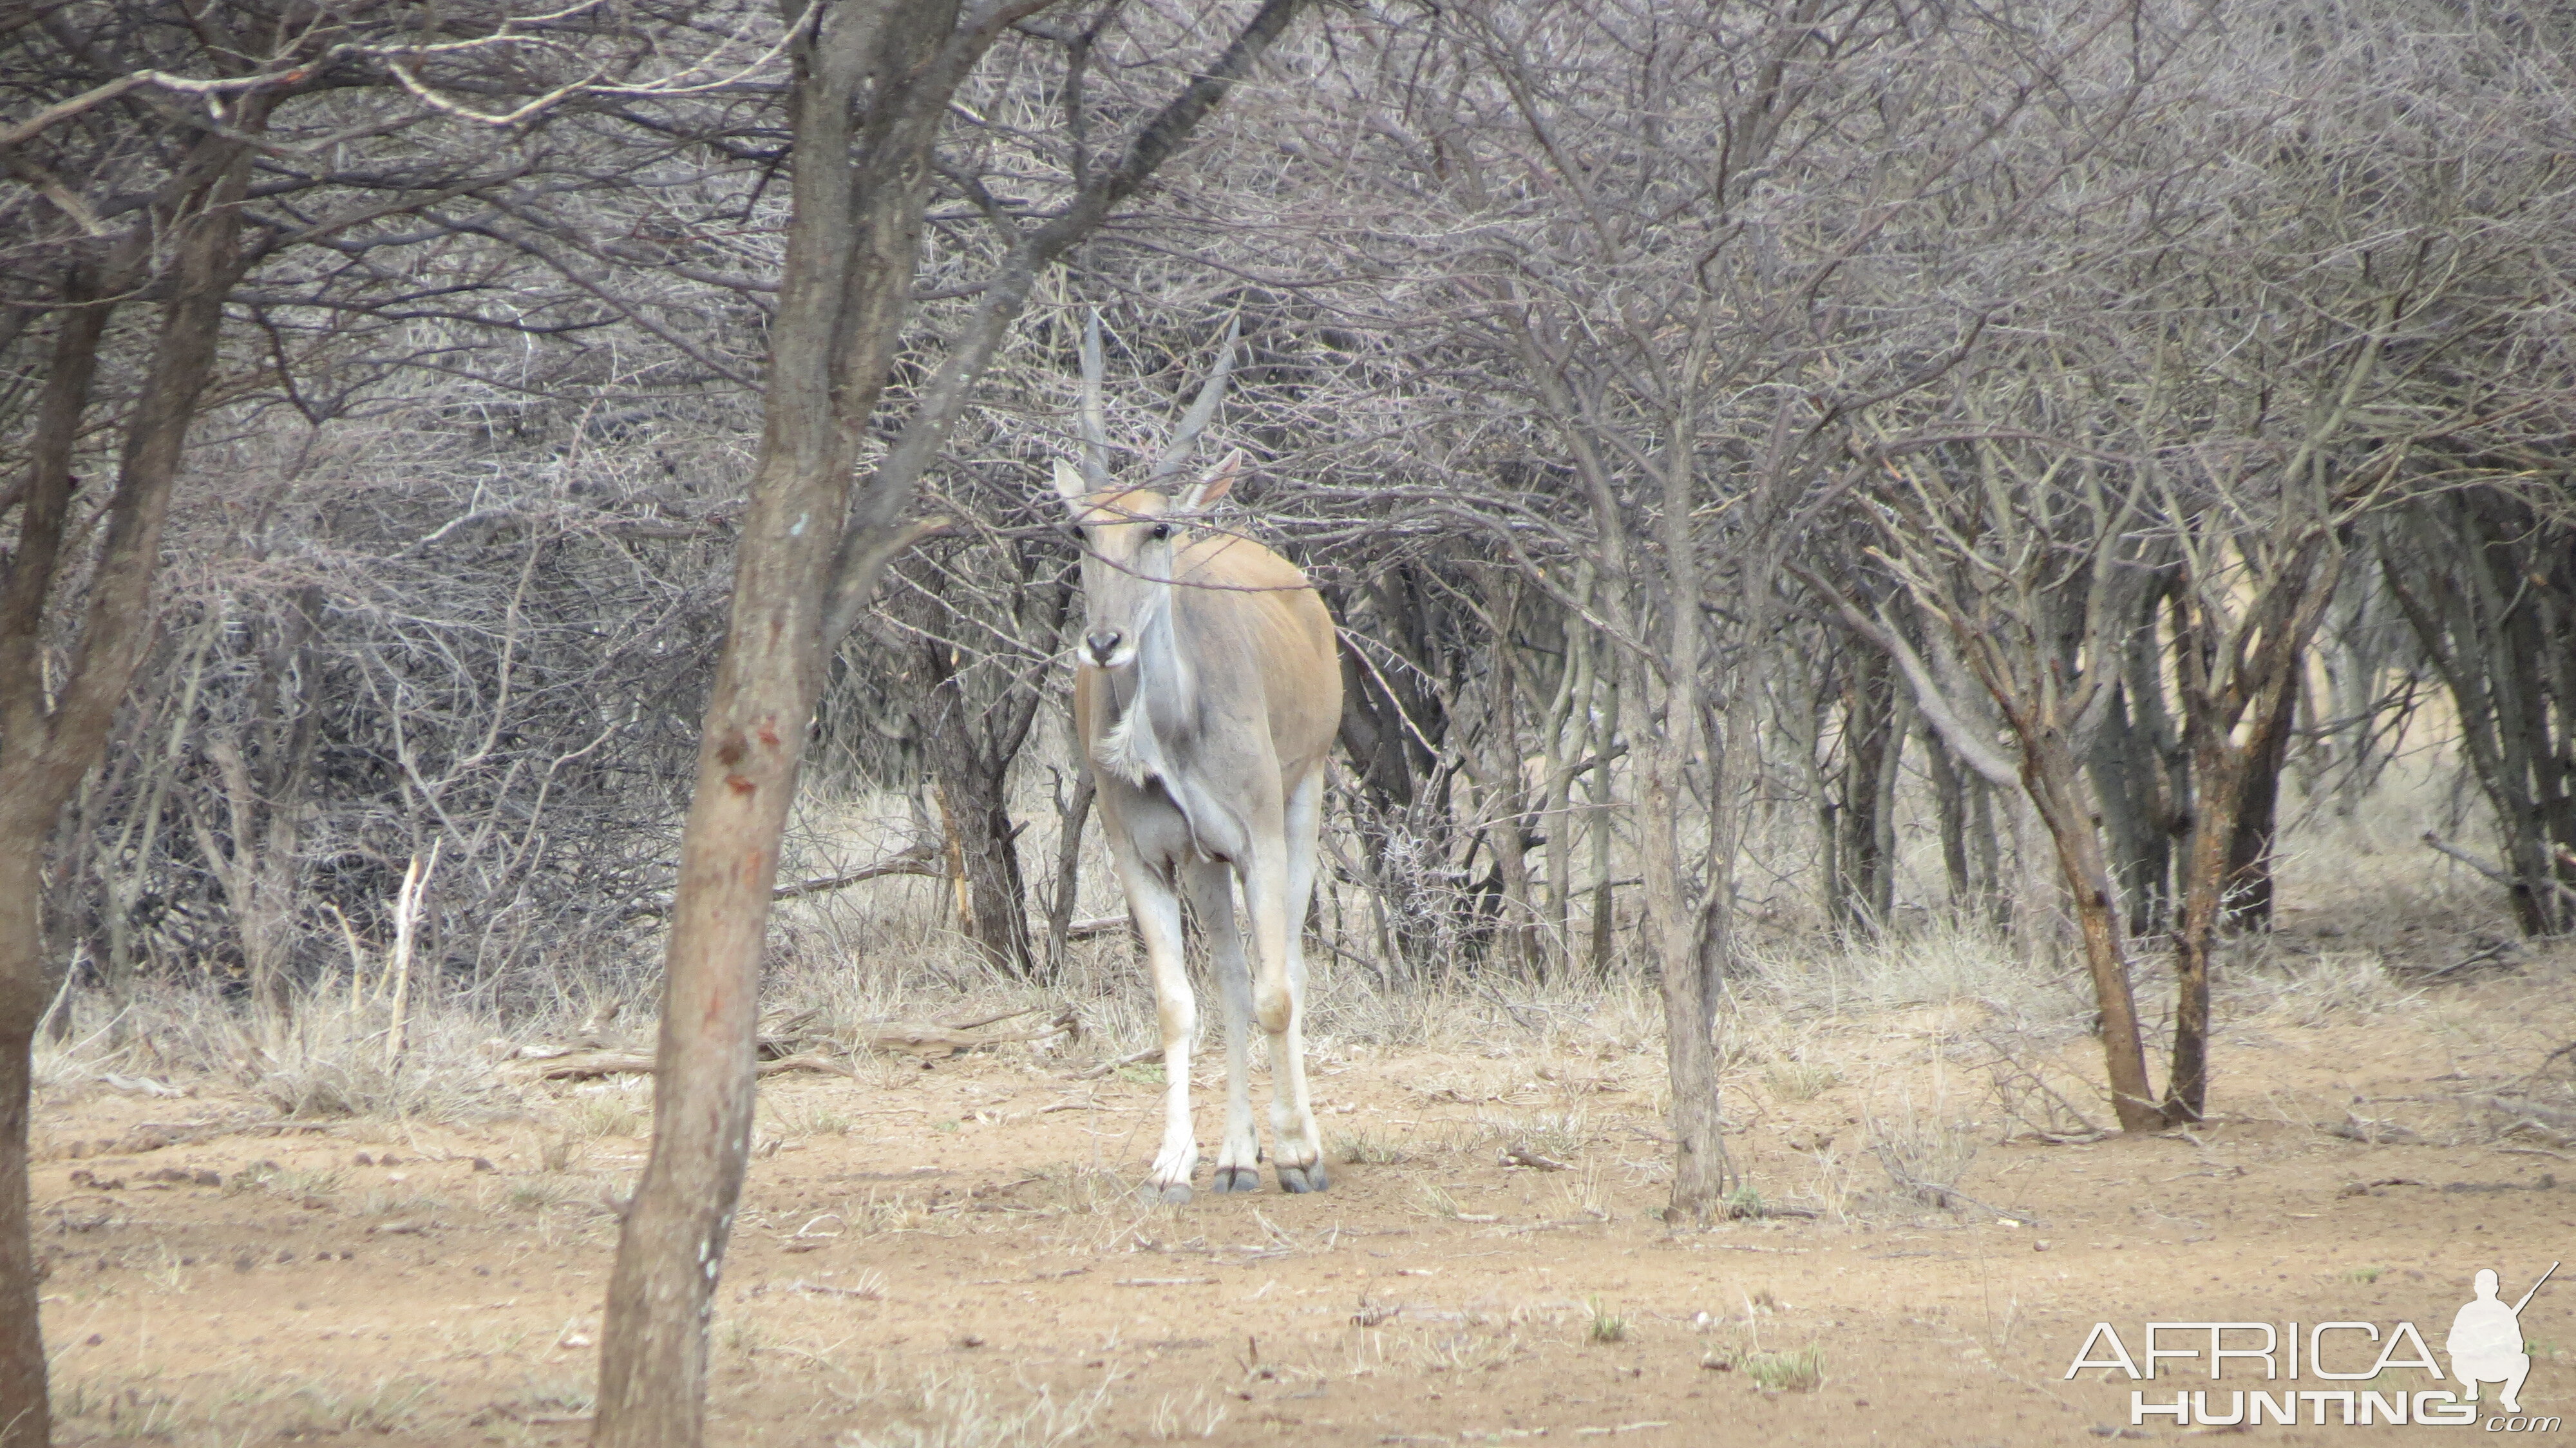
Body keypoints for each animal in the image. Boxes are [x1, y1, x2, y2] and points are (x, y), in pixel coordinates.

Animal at [1051, 316, 1340, 1196]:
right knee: (1234, 981)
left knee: (1286, 971)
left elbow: (1281, 989)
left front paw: (1297, 1152)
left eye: (1158, 526)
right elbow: (1179, 1002)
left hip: (1304, 799)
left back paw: (1291, 1145)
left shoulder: (1261, 837)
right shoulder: (1144, 856)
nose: (1102, 642)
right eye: (1082, 529)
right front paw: (1174, 1158)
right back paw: (1236, 1155)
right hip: (1206, 864)